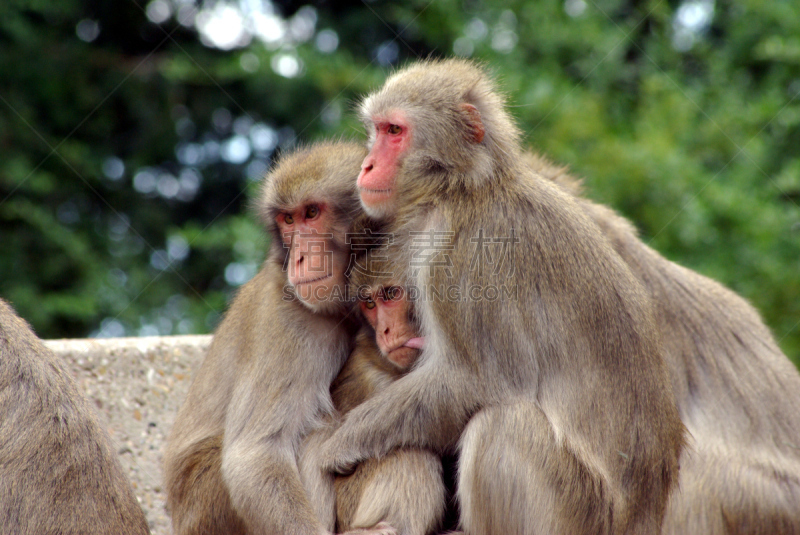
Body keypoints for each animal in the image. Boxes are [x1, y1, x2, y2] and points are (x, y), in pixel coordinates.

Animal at [165, 142, 366, 535]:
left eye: (312, 213)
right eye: (288, 221)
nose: (300, 257)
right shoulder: (291, 321)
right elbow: (256, 456)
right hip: (203, 507)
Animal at [320, 59, 688, 535]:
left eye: (394, 131)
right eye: (376, 130)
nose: (366, 166)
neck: (462, 191)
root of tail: (645, 517)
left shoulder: (461, 260)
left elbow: (477, 380)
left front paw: (340, 443)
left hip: (579, 513)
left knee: (503, 424)